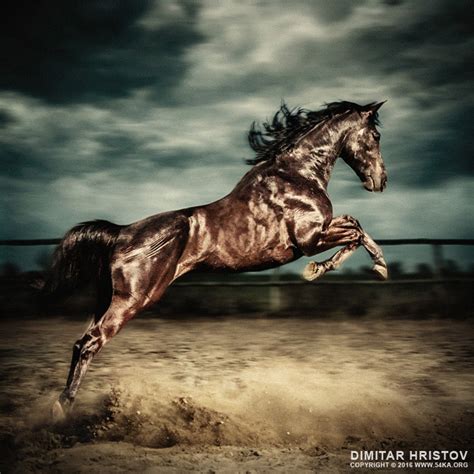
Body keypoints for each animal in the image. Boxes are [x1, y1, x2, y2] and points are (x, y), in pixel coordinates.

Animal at [47, 100, 388, 418]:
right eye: (376, 136)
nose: (380, 181)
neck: (297, 175)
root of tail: (120, 233)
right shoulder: (310, 239)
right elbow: (356, 230)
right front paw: (342, 267)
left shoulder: (318, 233)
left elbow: (355, 227)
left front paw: (368, 267)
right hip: (134, 299)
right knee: (89, 342)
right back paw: (61, 409)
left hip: (108, 299)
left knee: (81, 342)